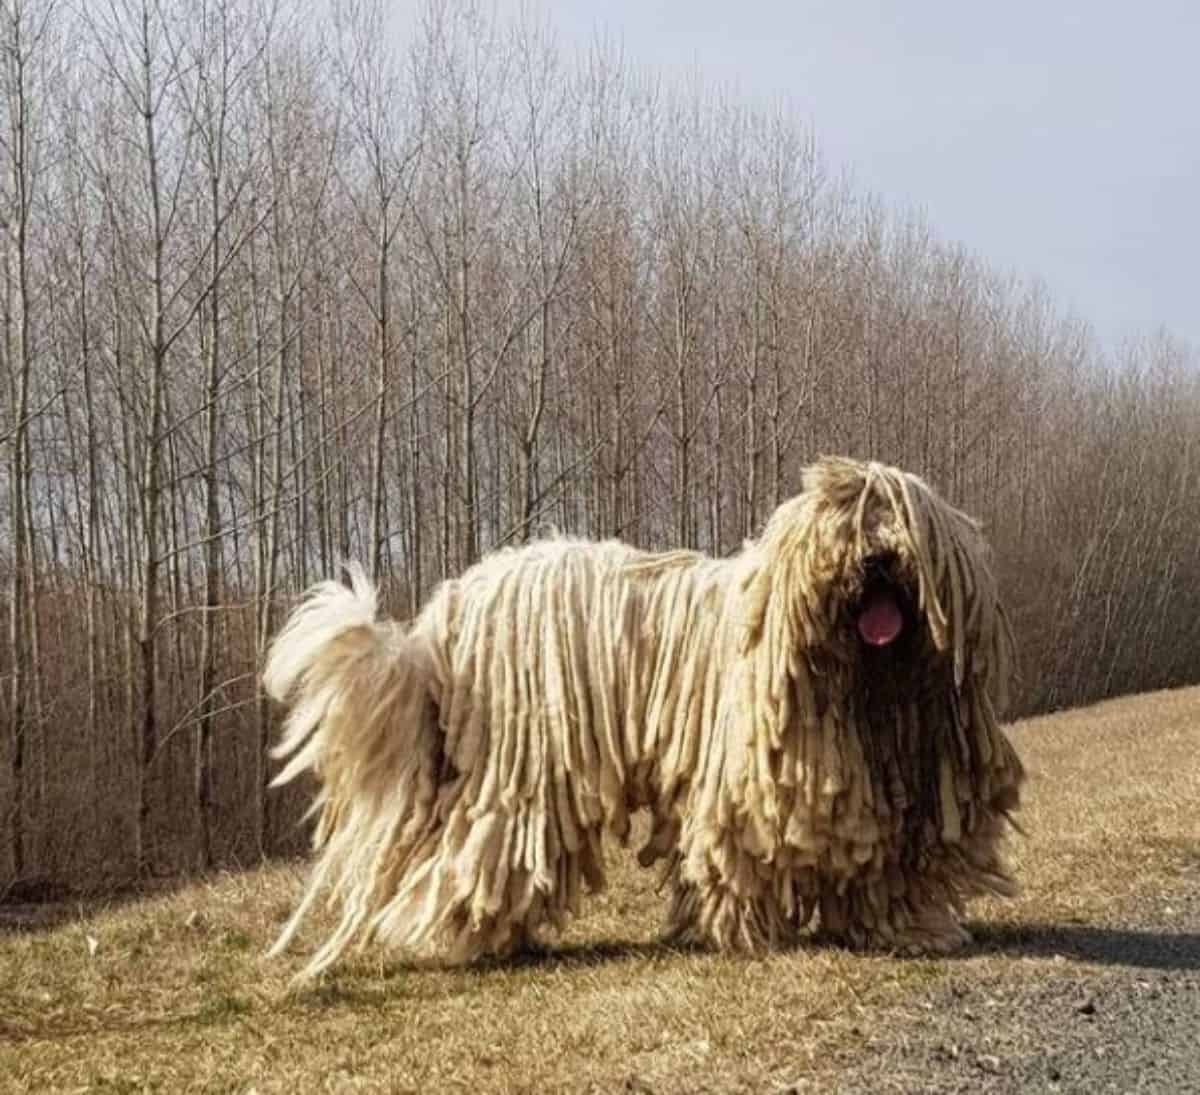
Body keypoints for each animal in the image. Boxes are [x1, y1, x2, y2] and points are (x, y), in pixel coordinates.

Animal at [260, 453, 1022, 974]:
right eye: (847, 518)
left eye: (897, 520)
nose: (879, 558)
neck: (862, 679)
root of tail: (446, 612)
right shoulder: (746, 789)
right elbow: (738, 857)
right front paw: (745, 931)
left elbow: (881, 865)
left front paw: (905, 926)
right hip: (520, 773)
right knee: (475, 854)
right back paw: (461, 932)